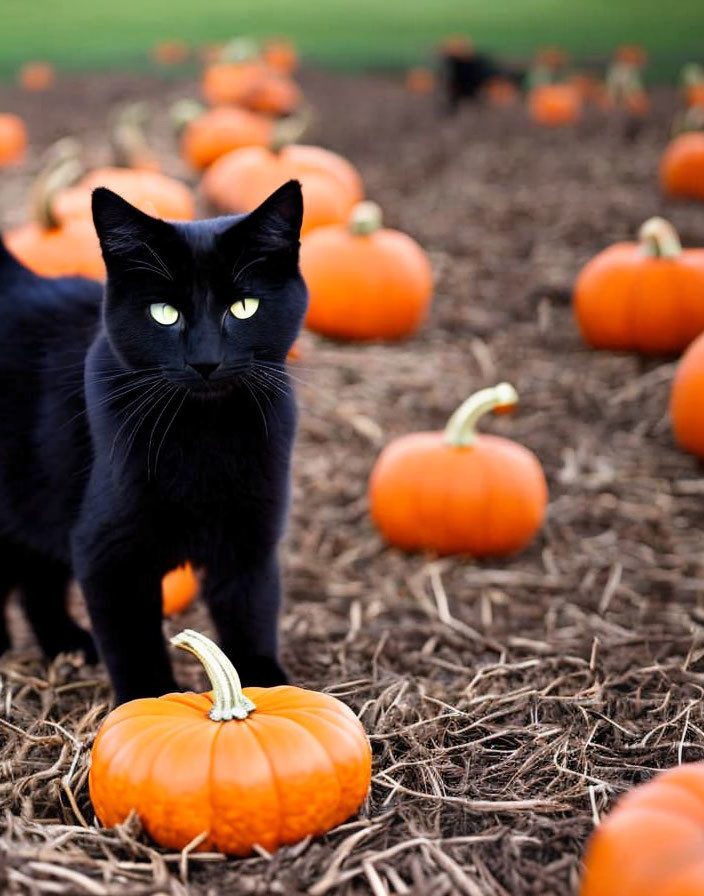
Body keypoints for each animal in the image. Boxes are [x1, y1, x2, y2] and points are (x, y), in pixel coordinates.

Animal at [0, 178, 306, 704]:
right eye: (164, 313)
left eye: (243, 308)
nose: (205, 361)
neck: (206, 435)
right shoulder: (107, 554)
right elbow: (134, 644)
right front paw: (150, 700)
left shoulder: (250, 543)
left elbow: (251, 616)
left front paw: (265, 685)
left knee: (37, 582)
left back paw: (68, 645)